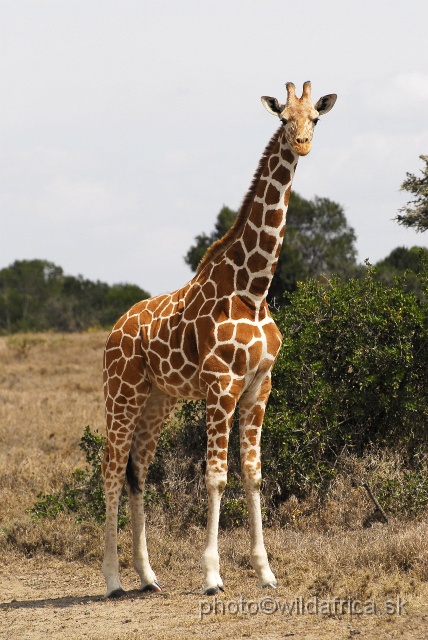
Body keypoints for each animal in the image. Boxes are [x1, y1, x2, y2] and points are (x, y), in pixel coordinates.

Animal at [102, 81, 336, 600]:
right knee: (110, 468)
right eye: (283, 118)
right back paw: (112, 580)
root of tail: (115, 328)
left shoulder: (259, 386)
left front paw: (266, 571)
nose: (302, 144)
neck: (253, 288)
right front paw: (212, 575)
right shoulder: (220, 384)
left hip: (159, 398)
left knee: (137, 471)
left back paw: (148, 577)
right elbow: (214, 477)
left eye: (315, 118)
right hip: (121, 393)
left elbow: (253, 475)